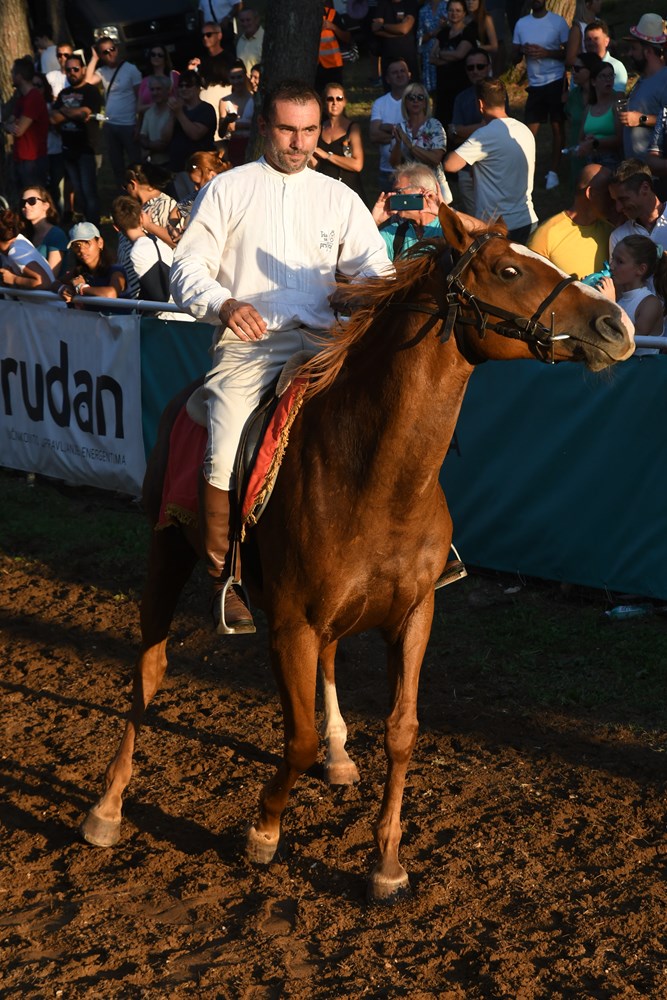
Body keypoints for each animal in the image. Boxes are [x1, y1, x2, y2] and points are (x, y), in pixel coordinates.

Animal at [81, 207, 636, 904]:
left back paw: (341, 755)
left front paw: (387, 861)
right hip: (167, 551)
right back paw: (107, 807)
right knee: (148, 670)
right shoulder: (291, 625)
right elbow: (295, 739)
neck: (374, 475)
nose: (617, 325)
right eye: (509, 270)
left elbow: (401, 730)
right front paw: (264, 831)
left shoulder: (415, 615)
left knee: (328, 661)